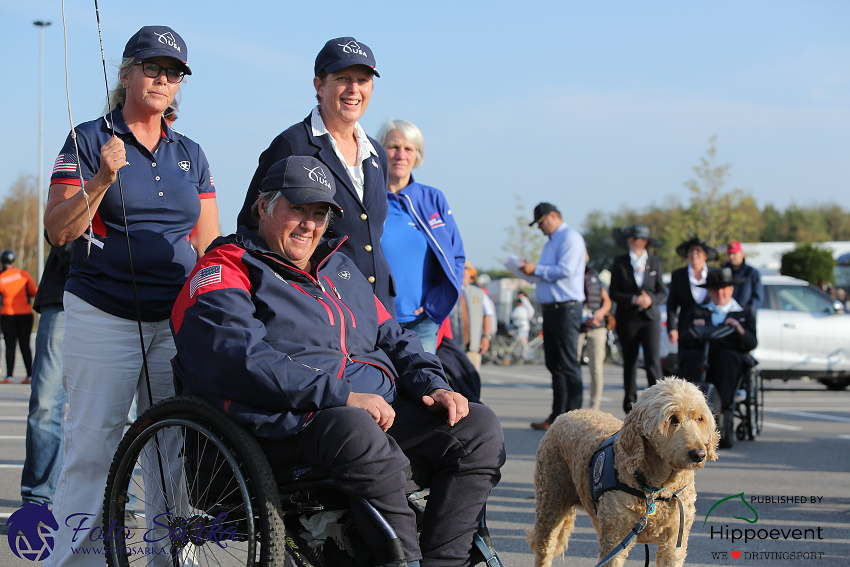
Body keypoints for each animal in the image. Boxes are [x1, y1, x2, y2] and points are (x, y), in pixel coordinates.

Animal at [528, 380, 716, 567]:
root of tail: (568, 413)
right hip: (550, 505)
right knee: (544, 549)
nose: (699, 454)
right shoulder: (615, 540)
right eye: (672, 419)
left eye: (700, 418)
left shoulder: (674, 544)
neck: (656, 489)